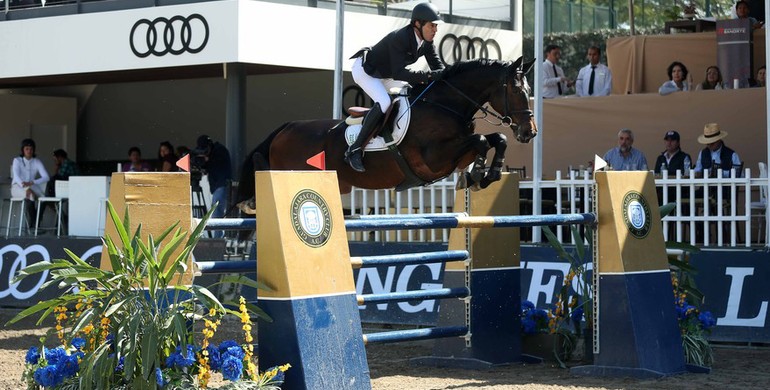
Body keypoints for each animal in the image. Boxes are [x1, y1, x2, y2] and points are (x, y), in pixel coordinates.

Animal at [234, 56, 536, 212]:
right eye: (516, 91)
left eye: (529, 91)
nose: (529, 133)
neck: (445, 104)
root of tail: (286, 127)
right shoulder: (434, 159)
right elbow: (482, 140)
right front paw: (475, 175)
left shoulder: (454, 153)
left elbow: (497, 139)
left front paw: (489, 174)